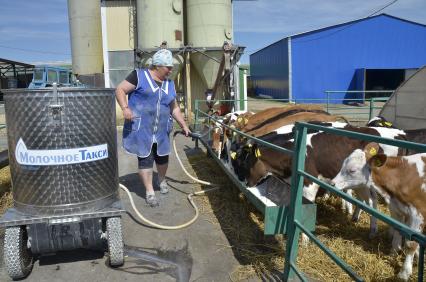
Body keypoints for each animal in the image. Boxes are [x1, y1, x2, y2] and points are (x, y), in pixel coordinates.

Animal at [332, 144, 426, 280]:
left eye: (352, 170)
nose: (332, 183)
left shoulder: (418, 214)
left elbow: (411, 244)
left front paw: (404, 273)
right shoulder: (397, 209)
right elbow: (398, 231)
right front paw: (393, 254)